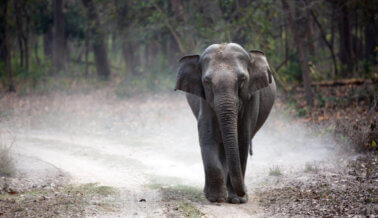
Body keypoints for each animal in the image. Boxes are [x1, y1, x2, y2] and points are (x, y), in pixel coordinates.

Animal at [173, 43, 274, 204]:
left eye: (242, 80)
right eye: (207, 82)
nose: (243, 192)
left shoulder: (251, 99)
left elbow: (242, 140)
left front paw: (237, 200)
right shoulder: (204, 99)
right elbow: (207, 136)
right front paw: (216, 198)